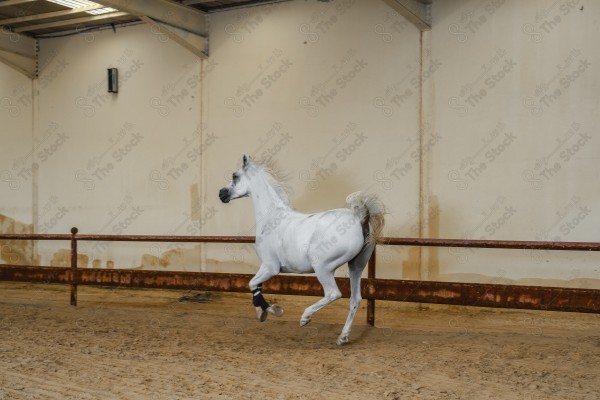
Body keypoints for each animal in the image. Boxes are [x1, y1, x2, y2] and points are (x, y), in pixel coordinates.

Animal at [219, 155, 384, 346]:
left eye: (235, 176)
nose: (221, 194)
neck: (272, 218)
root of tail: (359, 218)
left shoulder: (270, 267)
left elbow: (252, 284)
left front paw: (273, 311)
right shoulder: (266, 267)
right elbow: (255, 285)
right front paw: (262, 312)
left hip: (323, 267)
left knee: (333, 293)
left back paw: (305, 317)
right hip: (356, 266)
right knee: (355, 299)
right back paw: (342, 337)